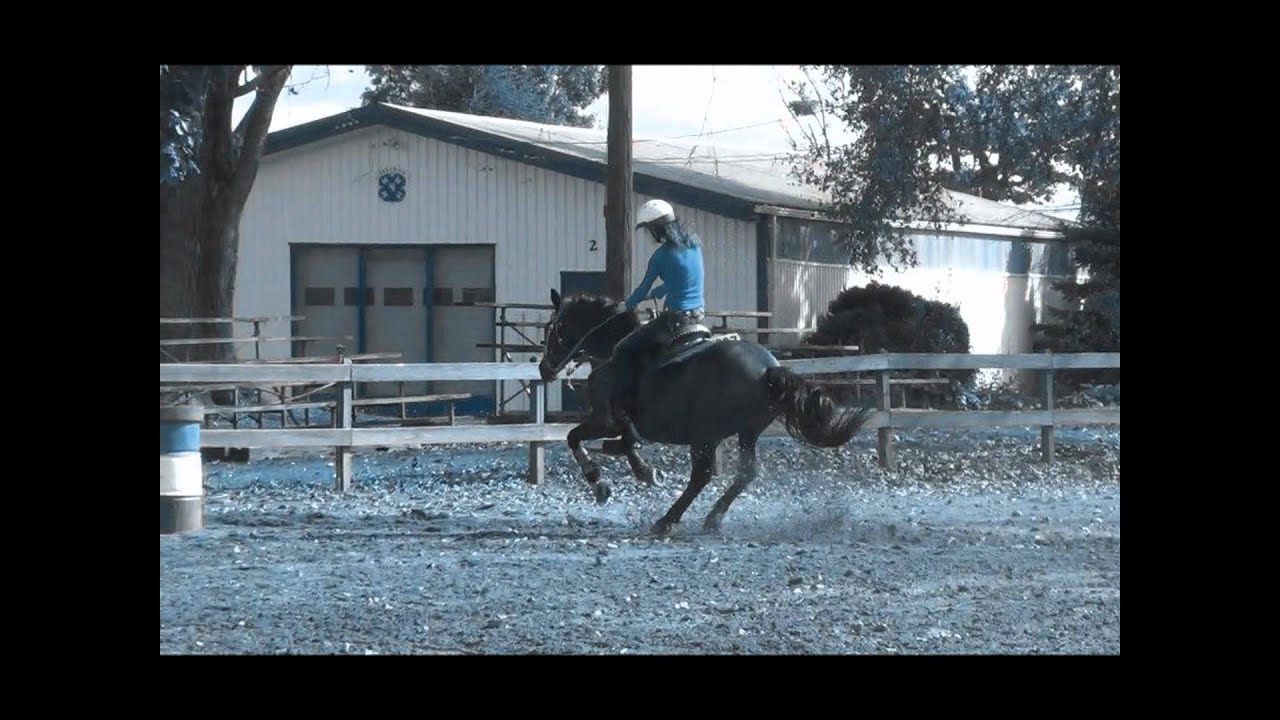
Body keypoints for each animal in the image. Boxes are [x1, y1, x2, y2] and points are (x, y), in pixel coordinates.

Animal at [529, 286, 870, 532]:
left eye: (553, 328)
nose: (545, 369)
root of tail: (767, 370)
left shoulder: (605, 419)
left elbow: (575, 437)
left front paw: (599, 483)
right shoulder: (622, 425)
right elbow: (625, 444)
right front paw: (645, 471)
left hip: (705, 436)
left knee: (702, 476)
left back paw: (667, 520)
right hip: (746, 432)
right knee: (745, 473)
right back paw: (712, 518)